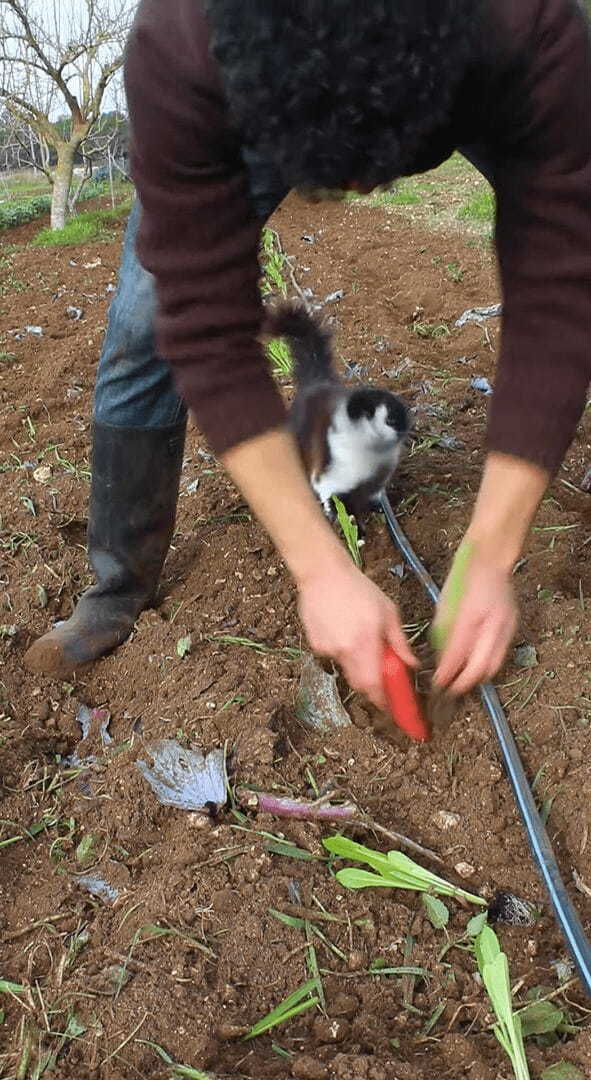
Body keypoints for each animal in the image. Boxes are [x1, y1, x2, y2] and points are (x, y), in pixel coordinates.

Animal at [264, 304, 408, 522]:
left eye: (406, 413)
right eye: (391, 419)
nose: (409, 427)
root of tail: (318, 381)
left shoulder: (373, 487)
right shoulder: (330, 480)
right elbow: (336, 504)